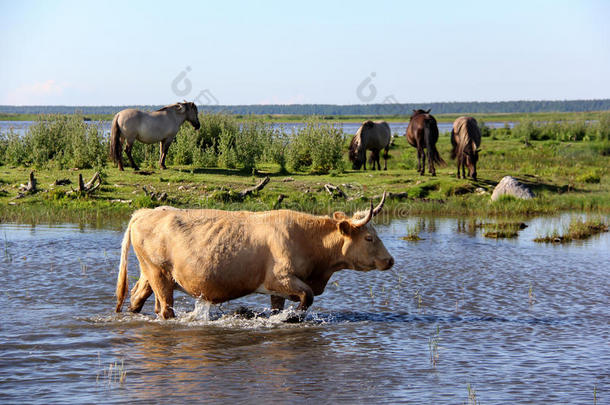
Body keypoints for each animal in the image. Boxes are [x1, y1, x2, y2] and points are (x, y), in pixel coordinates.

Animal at [114, 193, 394, 318]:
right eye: (369, 238)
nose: (390, 260)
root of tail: (144, 212)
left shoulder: (279, 289)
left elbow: (281, 306)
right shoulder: (279, 278)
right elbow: (308, 297)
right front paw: (293, 318)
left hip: (151, 275)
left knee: (137, 297)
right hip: (159, 274)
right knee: (164, 309)